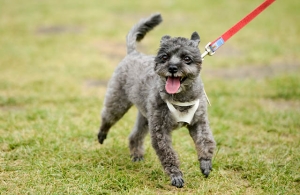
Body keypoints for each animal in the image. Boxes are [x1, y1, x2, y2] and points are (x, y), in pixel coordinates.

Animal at [97, 13, 217, 187]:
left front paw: (205, 163)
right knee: (107, 117)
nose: (172, 68)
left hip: (146, 117)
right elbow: (168, 153)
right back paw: (102, 134)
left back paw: (136, 155)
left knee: (135, 135)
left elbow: (205, 141)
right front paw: (175, 175)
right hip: (118, 102)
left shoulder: (198, 123)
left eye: (187, 58)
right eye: (164, 57)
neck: (180, 98)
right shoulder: (160, 130)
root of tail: (133, 53)